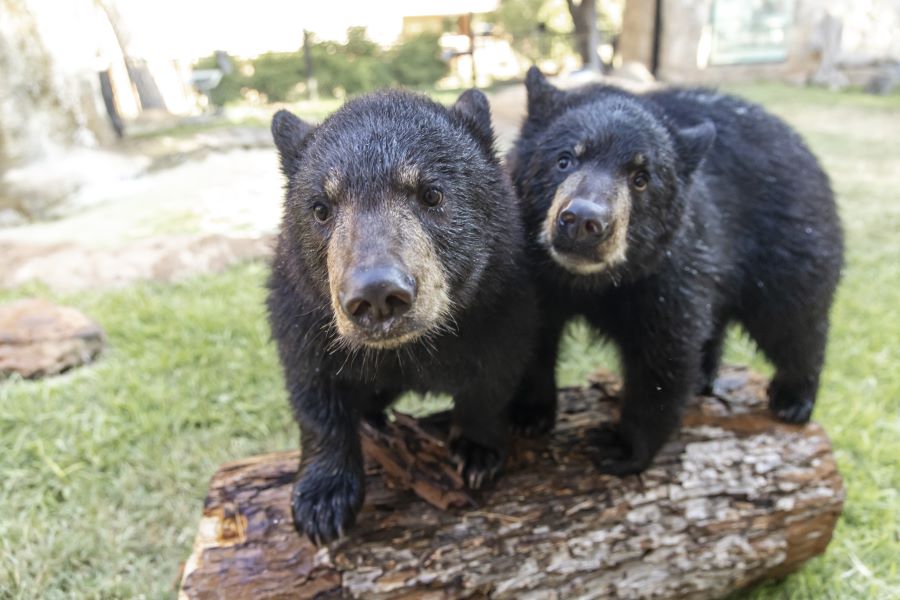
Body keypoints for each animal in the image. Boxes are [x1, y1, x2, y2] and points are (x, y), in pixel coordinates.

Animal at [268, 91, 536, 548]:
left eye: (431, 194)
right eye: (321, 208)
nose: (376, 295)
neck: (411, 348)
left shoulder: (505, 299)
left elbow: (495, 375)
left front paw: (476, 452)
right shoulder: (298, 308)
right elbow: (311, 387)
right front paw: (322, 501)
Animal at [510, 65, 848, 476]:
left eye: (641, 178)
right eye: (565, 159)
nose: (583, 222)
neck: (588, 281)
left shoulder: (666, 273)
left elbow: (664, 355)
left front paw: (624, 449)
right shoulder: (533, 274)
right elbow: (530, 333)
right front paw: (528, 414)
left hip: (789, 240)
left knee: (792, 319)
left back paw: (794, 398)